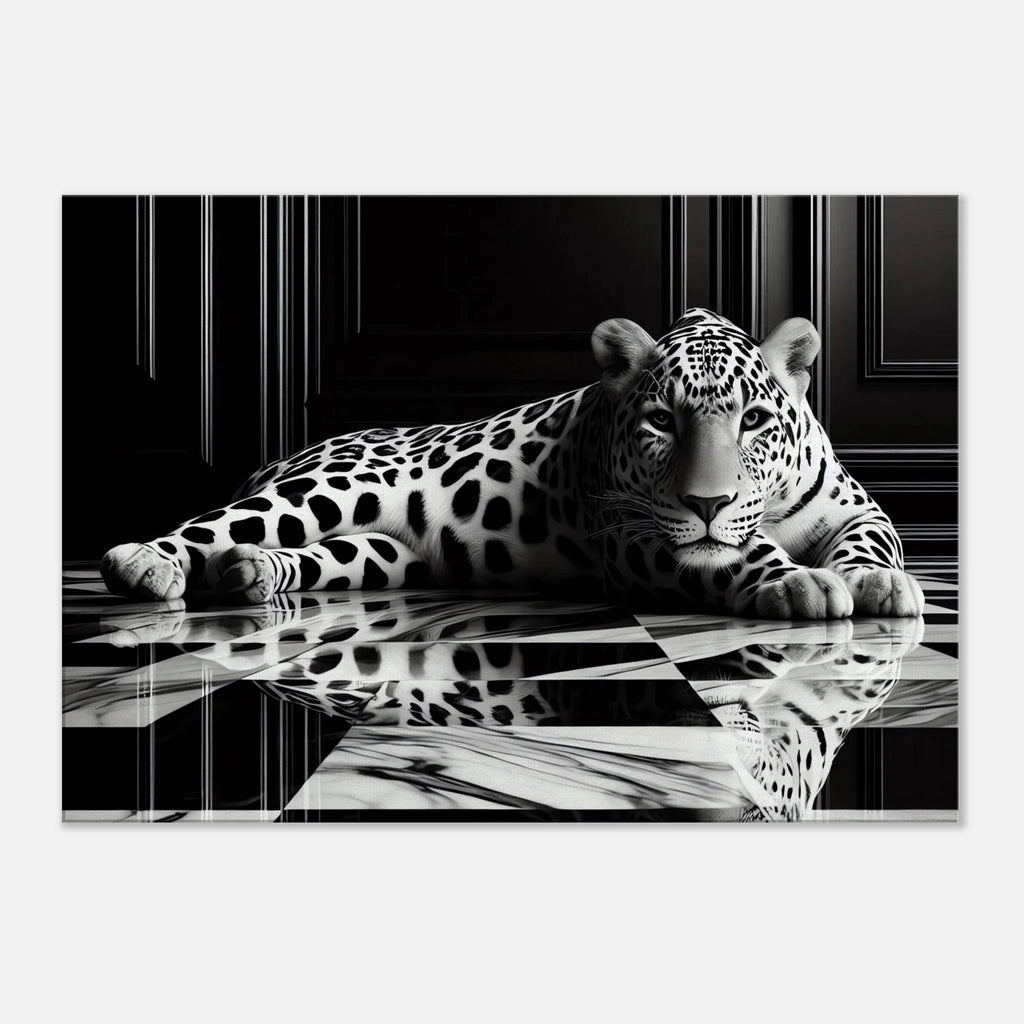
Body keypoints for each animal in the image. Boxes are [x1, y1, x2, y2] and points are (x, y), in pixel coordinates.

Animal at [101, 307, 923, 619]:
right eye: (661, 420)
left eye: (753, 421)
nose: (708, 503)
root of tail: (290, 452)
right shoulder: (640, 537)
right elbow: (737, 553)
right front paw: (798, 583)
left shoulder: (853, 503)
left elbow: (871, 539)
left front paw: (878, 581)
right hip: (336, 487)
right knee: (221, 522)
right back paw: (147, 564)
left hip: (383, 554)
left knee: (305, 553)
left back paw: (252, 573)